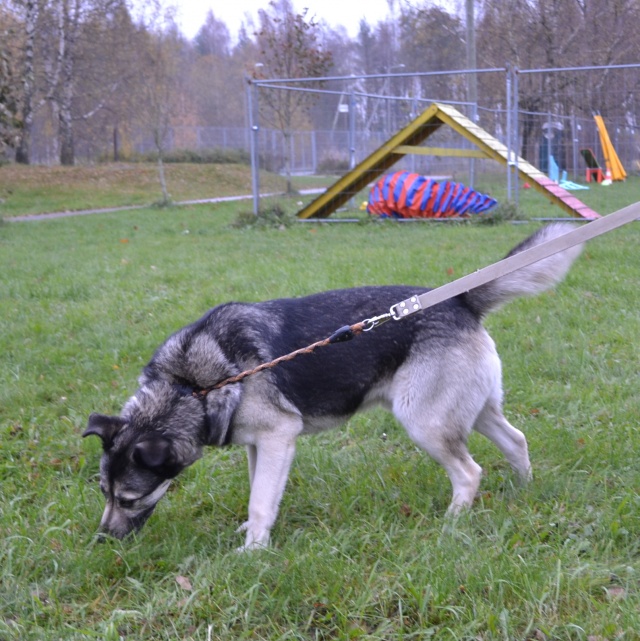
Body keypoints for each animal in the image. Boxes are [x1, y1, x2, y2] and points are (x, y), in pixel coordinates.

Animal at [84, 223, 583, 549]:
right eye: (103, 493)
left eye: (129, 497)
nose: (103, 539)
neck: (193, 385)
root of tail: (461, 300)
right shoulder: (258, 447)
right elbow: (258, 493)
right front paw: (251, 536)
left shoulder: (278, 437)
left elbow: (260, 502)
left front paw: (252, 552)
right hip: (472, 413)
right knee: (516, 441)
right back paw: (523, 490)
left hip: (424, 422)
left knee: (469, 471)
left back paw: (452, 523)